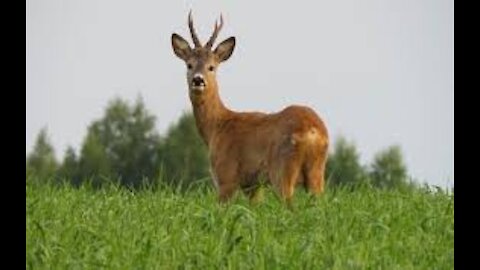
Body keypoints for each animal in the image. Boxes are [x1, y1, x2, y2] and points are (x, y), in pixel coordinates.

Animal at [171, 10, 328, 205]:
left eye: (211, 67)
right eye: (189, 65)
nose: (198, 80)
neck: (217, 126)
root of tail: (313, 130)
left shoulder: (226, 175)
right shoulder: (252, 185)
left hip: (282, 168)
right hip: (317, 172)